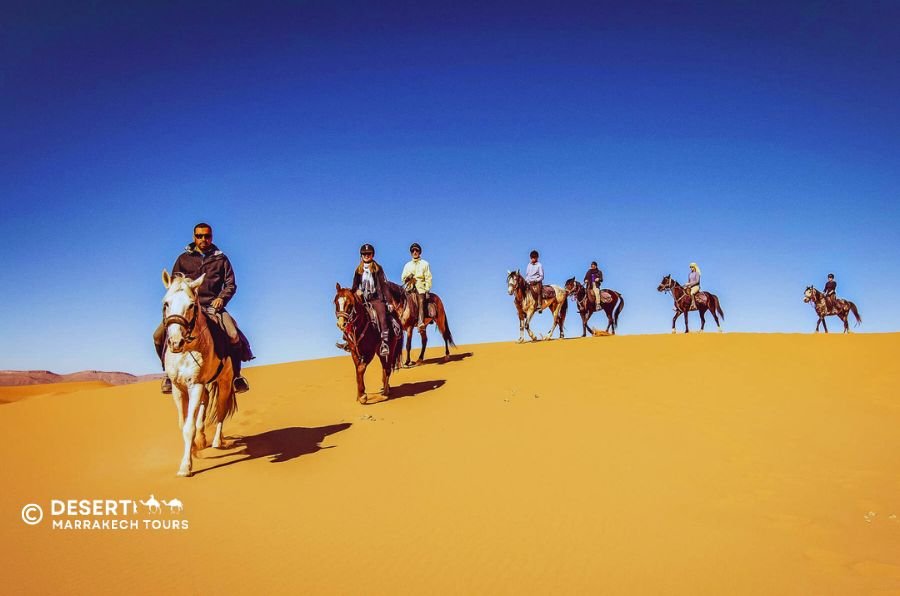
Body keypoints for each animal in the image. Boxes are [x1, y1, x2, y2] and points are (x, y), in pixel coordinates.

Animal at [162, 272, 237, 478]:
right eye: (166, 303)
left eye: (191, 305)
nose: (175, 342)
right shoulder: (178, 389)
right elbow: (184, 424)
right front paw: (195, 448)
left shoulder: (195, 384)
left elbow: (189, 427)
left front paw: (186, 466)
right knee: (206, 402)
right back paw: (203, 438)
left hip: (225, 382)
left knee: (220, 410)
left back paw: (218, 441)